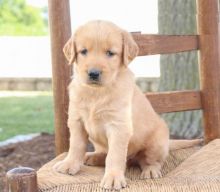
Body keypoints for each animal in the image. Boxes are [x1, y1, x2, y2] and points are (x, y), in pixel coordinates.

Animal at [52, 20, 200, 189]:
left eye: (110, 53)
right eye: (83, 51)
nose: (94, 73)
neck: (97, 93)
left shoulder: (118, 126)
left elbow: (114, 155)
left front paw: (113, 177)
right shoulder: (76, 120)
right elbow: (76, 146)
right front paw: (69, 164)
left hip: (157, 142)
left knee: (150, 160)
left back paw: (150, 170)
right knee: (105, 153)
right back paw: (94, 157)